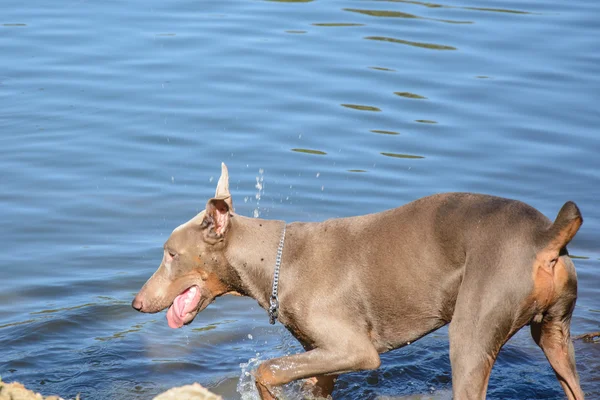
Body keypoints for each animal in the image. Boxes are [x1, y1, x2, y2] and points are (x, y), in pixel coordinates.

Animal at [132, 163, 584, 400]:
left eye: (170, 254)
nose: (136, 303)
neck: (279, 261)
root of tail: (545, 236)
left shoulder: (355, 350)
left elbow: (266, 369)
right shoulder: (323, 356)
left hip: (471, 338)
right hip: (554, 335)